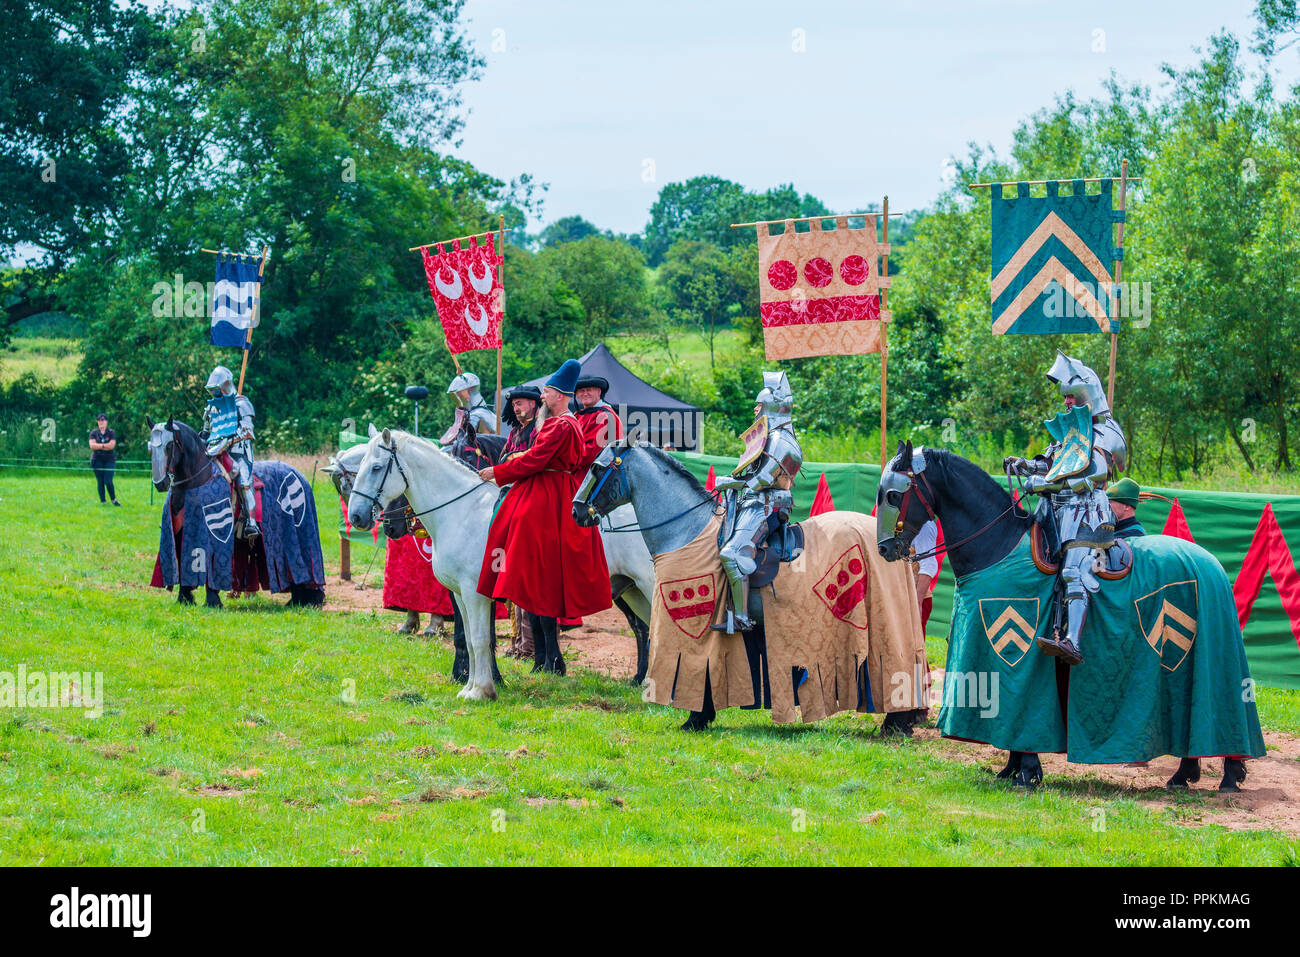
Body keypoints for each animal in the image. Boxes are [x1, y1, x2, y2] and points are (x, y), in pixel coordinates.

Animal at [345, 429, 655, 696]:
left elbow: (481, 638)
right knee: (645, 627)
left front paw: (483, 688)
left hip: (648, 584)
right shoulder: (461, 594)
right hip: (630, 590)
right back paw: (642, 681)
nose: (358, 516)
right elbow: (469, 639)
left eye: (376, 468)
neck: (461, 511)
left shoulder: (475, 593)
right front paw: (471, 684)